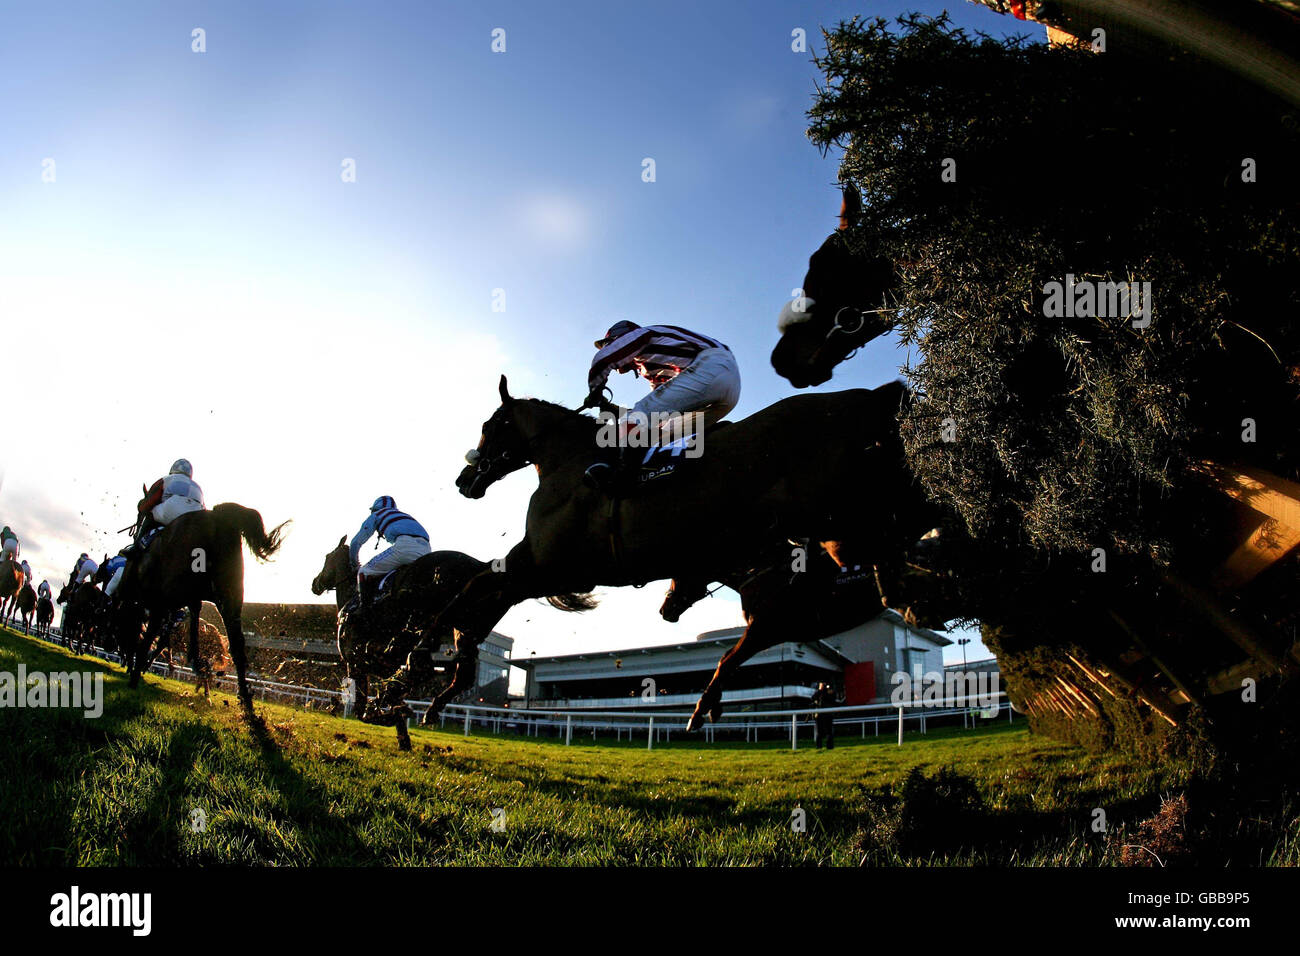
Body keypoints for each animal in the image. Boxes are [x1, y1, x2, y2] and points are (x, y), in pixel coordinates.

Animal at [114, 502, 289, 717]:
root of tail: (219, 519)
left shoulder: (145, 600)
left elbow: (142, 636)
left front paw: (135, 669)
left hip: (169, 595)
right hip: (229, 597)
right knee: (236, 644)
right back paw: (246, 705)